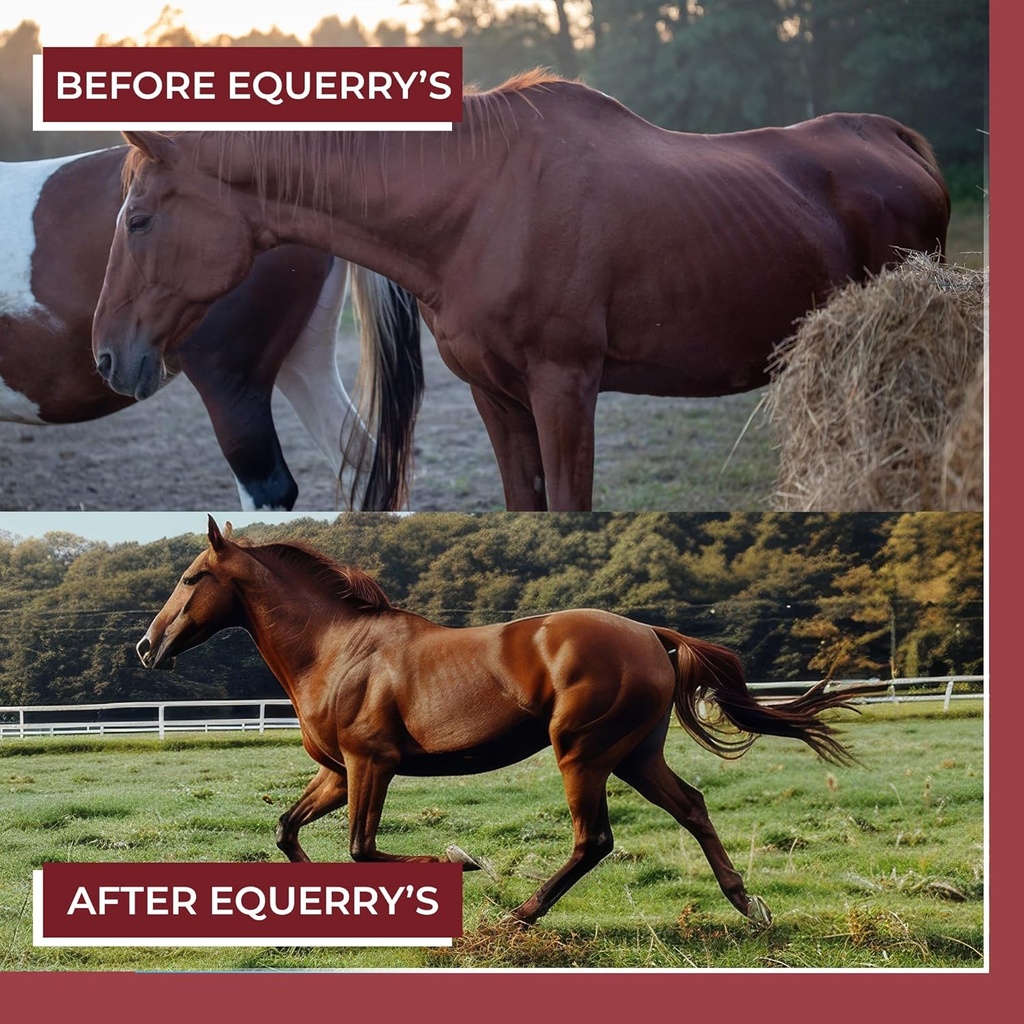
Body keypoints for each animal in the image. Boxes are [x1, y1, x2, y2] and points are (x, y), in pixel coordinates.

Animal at [2, 146, 423, 510]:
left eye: (138, 222)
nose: (105, 357)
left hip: (230, 386)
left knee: (269, 488)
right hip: (304, 361)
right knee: (362, 465)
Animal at [91, 71, 951, 511]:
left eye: (138, 218)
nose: (106, 356)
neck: (480, 202)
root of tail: (895, 140)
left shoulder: (565, 389)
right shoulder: (496, 397)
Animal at [135, 515, 862, 926]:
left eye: (192, 577)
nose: (147, 646)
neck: (336, 649)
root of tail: (652, 634)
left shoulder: (372, 764)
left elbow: (362, 849)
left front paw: (462, 861)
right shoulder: (339, 773)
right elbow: (288, 831)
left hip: (582, 753)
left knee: (595, 840)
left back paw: (521, 914)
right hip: (635, 754)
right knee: (691, 806)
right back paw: (749, 905)